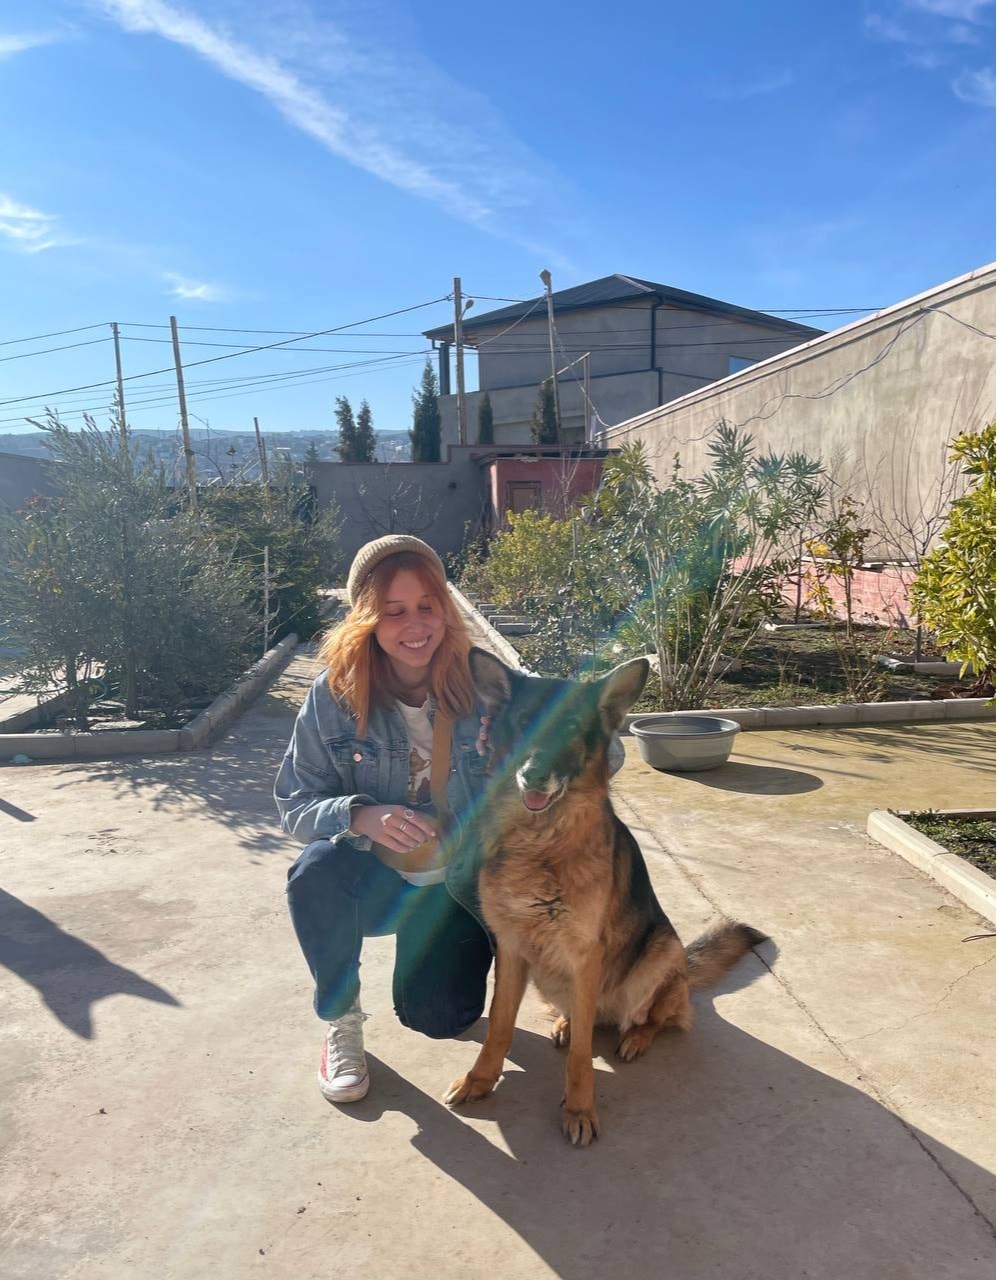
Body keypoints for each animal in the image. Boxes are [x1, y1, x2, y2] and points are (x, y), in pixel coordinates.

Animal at [444, 647, 765, 1147]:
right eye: (524, 723)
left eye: (572, 728)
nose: (533, 775)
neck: (541, 845)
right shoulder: (511, 951)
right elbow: (498, 1026)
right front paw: (480, 1080)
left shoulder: (584, 956)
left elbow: (581, 1056)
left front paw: (579, 1108)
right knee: (589, 1018)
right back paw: (566, 1022)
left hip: (657, 956)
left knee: (659, 1017)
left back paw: (635, 1037)